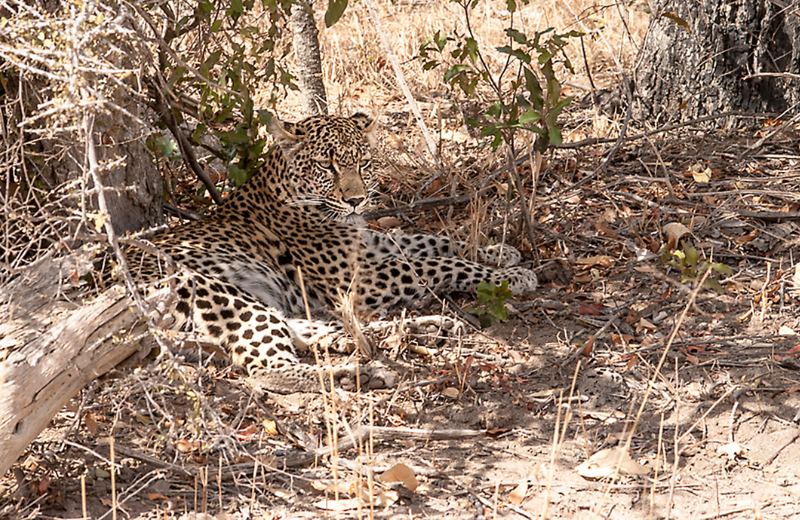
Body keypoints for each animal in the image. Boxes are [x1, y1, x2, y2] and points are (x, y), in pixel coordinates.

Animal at [126, 111, 536, 392]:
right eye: (326, 165)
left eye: (364, 163)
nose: (357, 200)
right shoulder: (358, 277)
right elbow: (433, 263)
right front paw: (509, 276)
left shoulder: (366, 244)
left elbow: (423, 241)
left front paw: (498, 252)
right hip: (218, 291)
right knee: (270, 367)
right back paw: (360, 372)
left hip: (255, 299)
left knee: (310, 330)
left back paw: (421, 329)